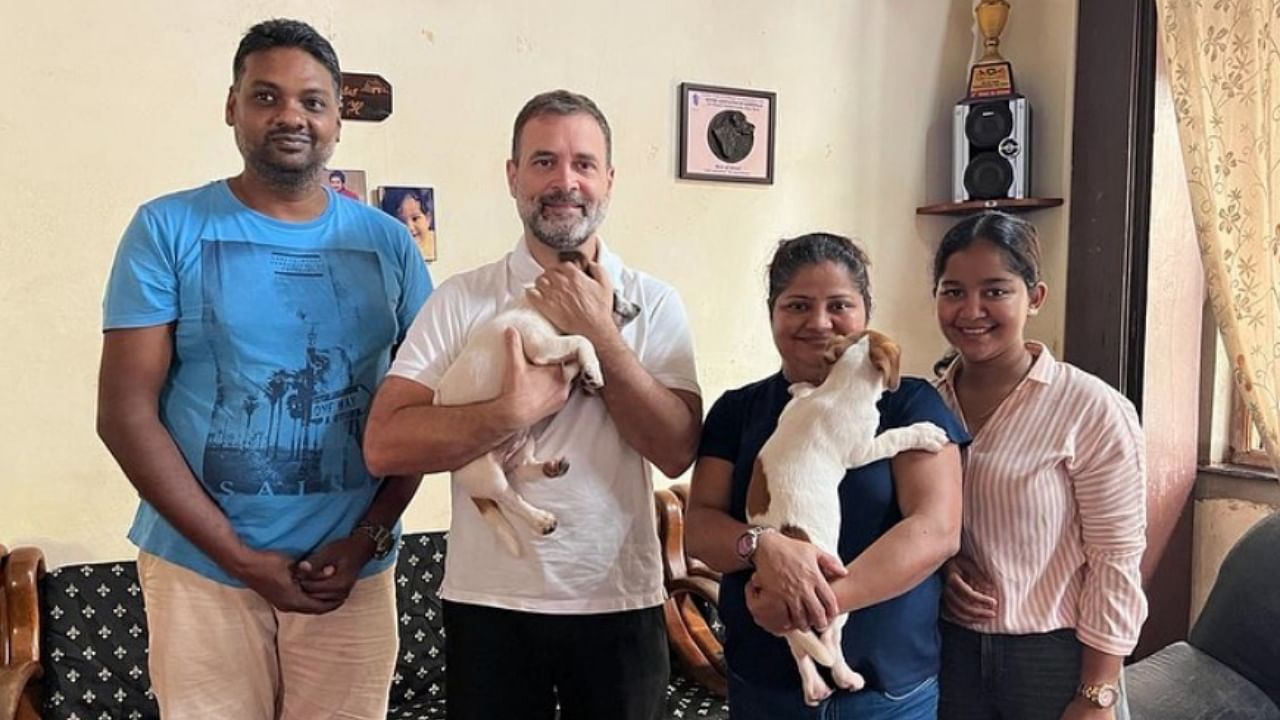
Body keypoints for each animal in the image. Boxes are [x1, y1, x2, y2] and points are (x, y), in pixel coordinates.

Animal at [435, 252, 640, 556]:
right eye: (613, 295)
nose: (638, 307)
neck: (538, 311)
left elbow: (577, 348)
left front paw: (583, 376)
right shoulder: (544, 347)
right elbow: (583, 339)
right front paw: (591, 369)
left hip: (524, 440)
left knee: (522, 466)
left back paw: (550, 468)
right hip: (488, 474)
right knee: (510, 498)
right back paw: (540, 519)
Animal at [747, 330, 947, 702]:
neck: (841, 386)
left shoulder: (792, 412)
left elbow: (795, 400)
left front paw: (800, 387)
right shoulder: (864, 449)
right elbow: (894, 436)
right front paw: (924, 433)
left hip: (789, 623)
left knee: (798, 646)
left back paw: (814, 687)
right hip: (836, 596)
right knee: (828, 640)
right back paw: (846, 677)